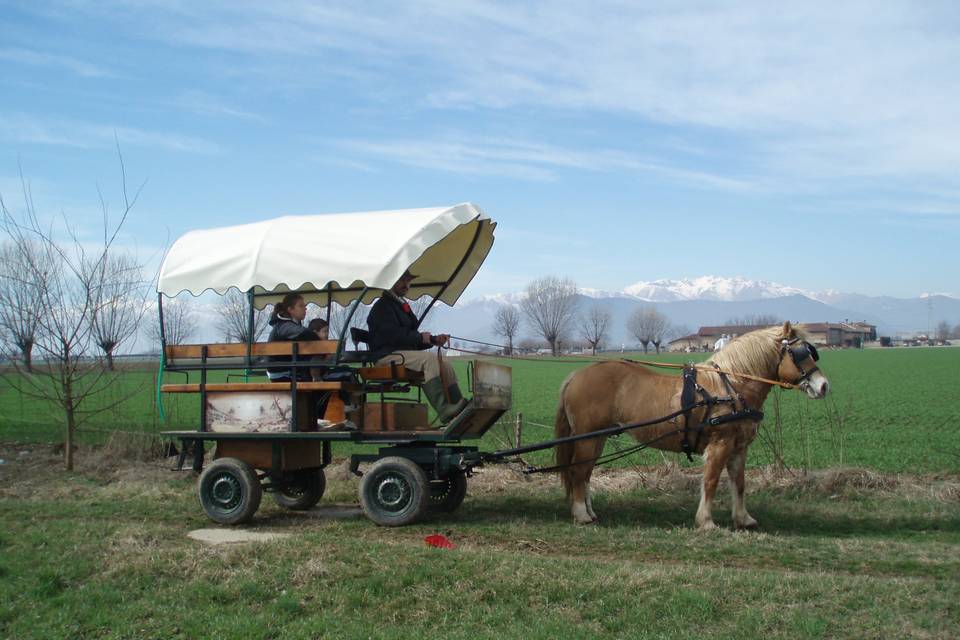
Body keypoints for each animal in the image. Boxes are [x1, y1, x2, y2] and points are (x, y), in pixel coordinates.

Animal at [556, 322, 832, 528]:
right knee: (578, 472)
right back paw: (581, 515)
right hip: (588, 437)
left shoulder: (739, 448)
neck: (731, 387)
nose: (823, 386)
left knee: (586, 473)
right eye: (800, 353)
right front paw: (706, 521)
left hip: (598, 438)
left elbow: (739, 483)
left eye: (811, 351)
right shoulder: (720, 445)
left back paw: (590, 513)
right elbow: (710, 481)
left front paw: (743, 519)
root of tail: (576, 376)